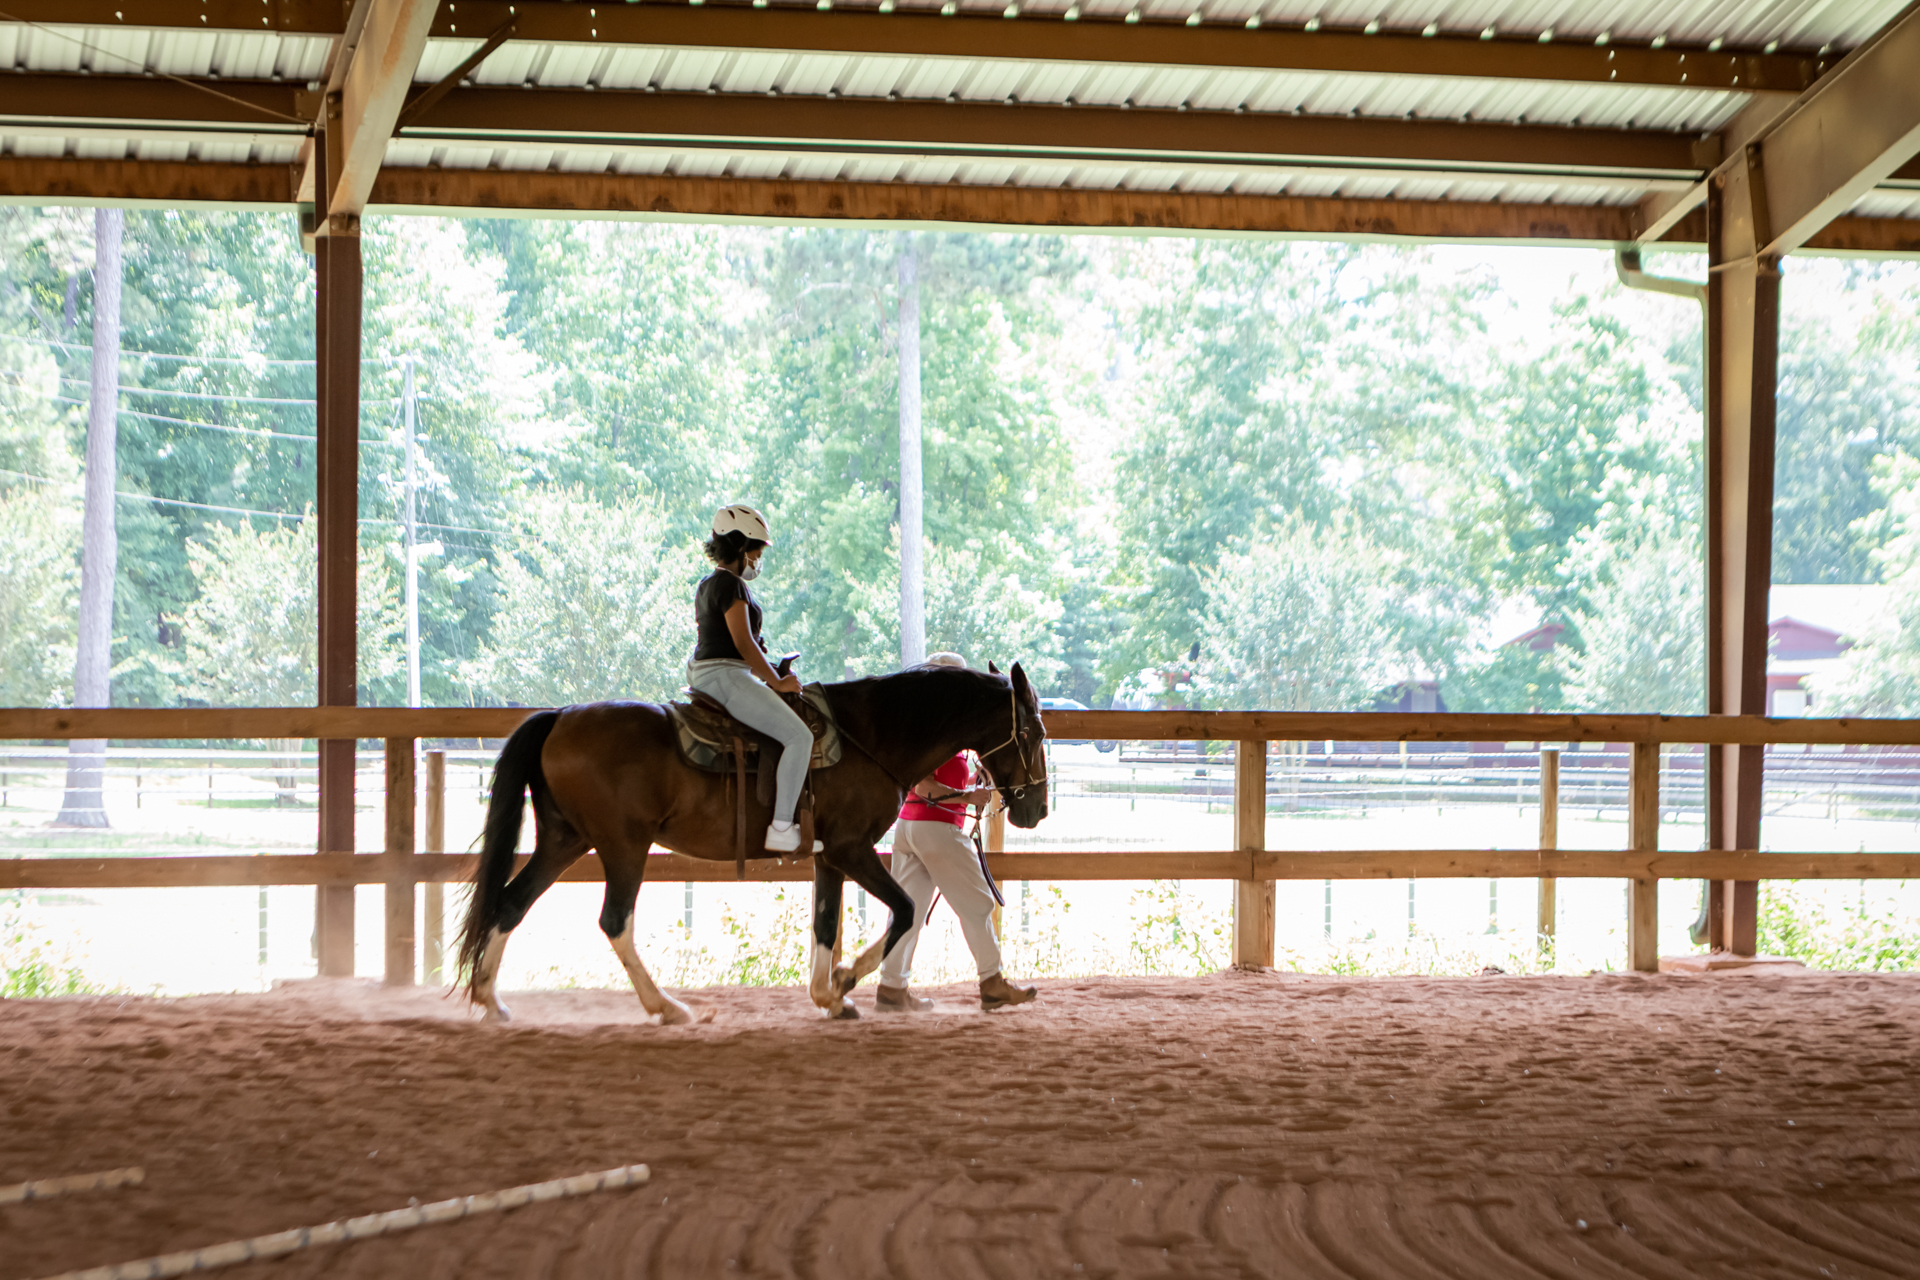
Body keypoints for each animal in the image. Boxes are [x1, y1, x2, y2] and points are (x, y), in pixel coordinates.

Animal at [453, 667, 1052, 1028]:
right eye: (1035, 734)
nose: (1037, 810)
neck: (871, 734)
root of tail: (562, 716)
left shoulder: (828, 856)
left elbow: (826, 922)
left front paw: (828, 996)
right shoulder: (851, 848)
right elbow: (903, 911)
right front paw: (843, 980)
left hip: (564, 840)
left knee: (511, 903)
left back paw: (490, 998)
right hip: (624, 846)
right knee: (614, 920)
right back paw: (666, 1006)